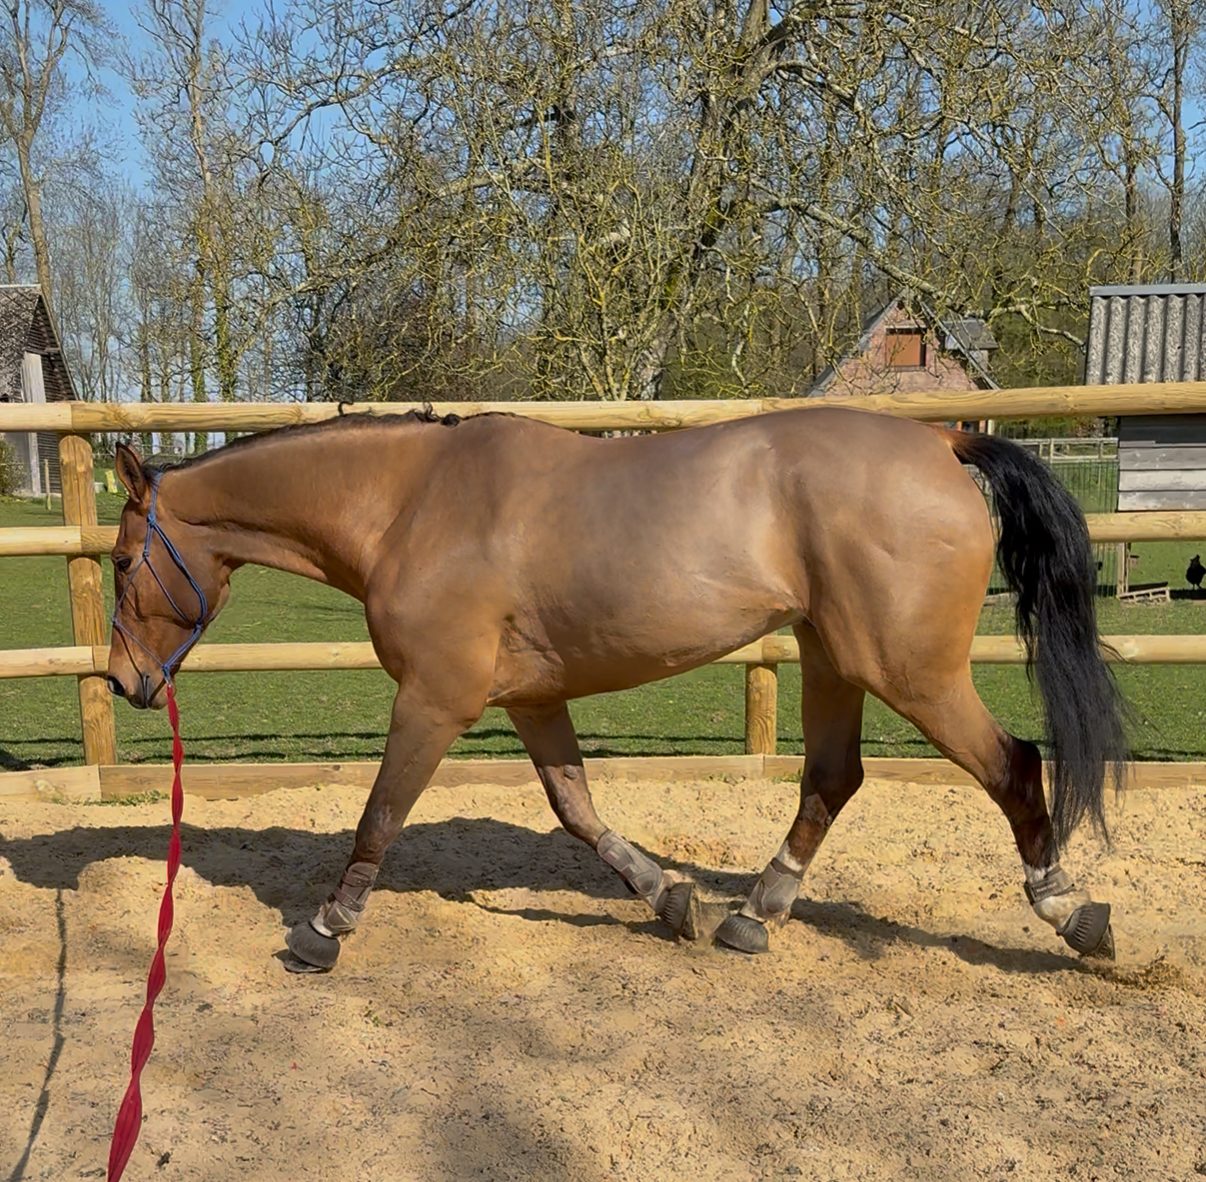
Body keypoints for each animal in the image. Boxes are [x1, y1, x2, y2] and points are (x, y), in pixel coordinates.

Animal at [106, 405, 1127, 971]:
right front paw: (671, 900)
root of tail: (941, 441)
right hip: (835, 659)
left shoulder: (434, 699)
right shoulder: (528, 699)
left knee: (1012, 765)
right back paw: (751, 917)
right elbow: (577, 810)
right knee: (832, 781)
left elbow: (380, 815)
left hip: (908, 669)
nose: (124, 682)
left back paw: (1072, 912)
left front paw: (324, 929)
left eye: (118, 563)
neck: (412, 505)